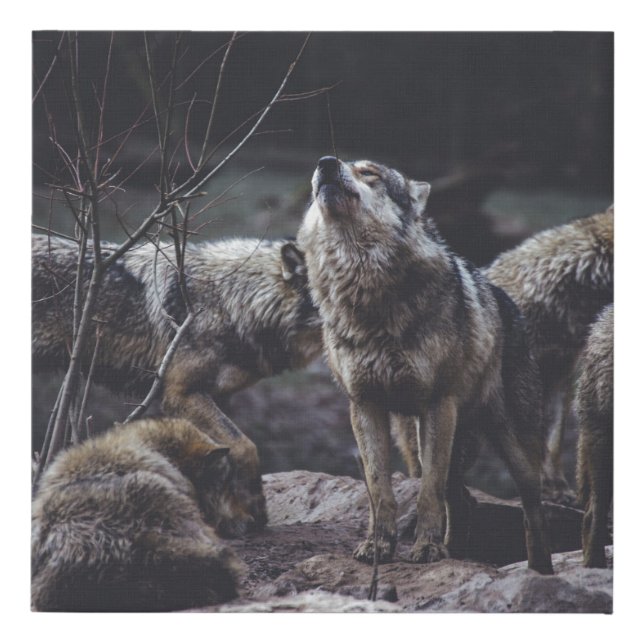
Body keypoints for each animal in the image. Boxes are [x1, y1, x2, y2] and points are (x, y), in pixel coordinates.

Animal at [32, 234, 322, 534]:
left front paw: (233, 516)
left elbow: (219, 457)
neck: (231, 301)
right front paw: (254, 509)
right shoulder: (182, 394)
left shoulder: (216, 397)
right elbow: (244, 446)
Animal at [297, 156, 553, 574]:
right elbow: (379, 489)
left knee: (533, 512)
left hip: (513, 451)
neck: (366, 292)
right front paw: (378, 546)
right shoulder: (364, 405)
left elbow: (427, 493)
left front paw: (427, 549)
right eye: (333, 165)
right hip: (421, 439)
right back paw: (457, 553)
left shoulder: (437, 403)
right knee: (464, 500)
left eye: (369, 172)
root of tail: (506, 300)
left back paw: (539, 572)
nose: (326, 163)